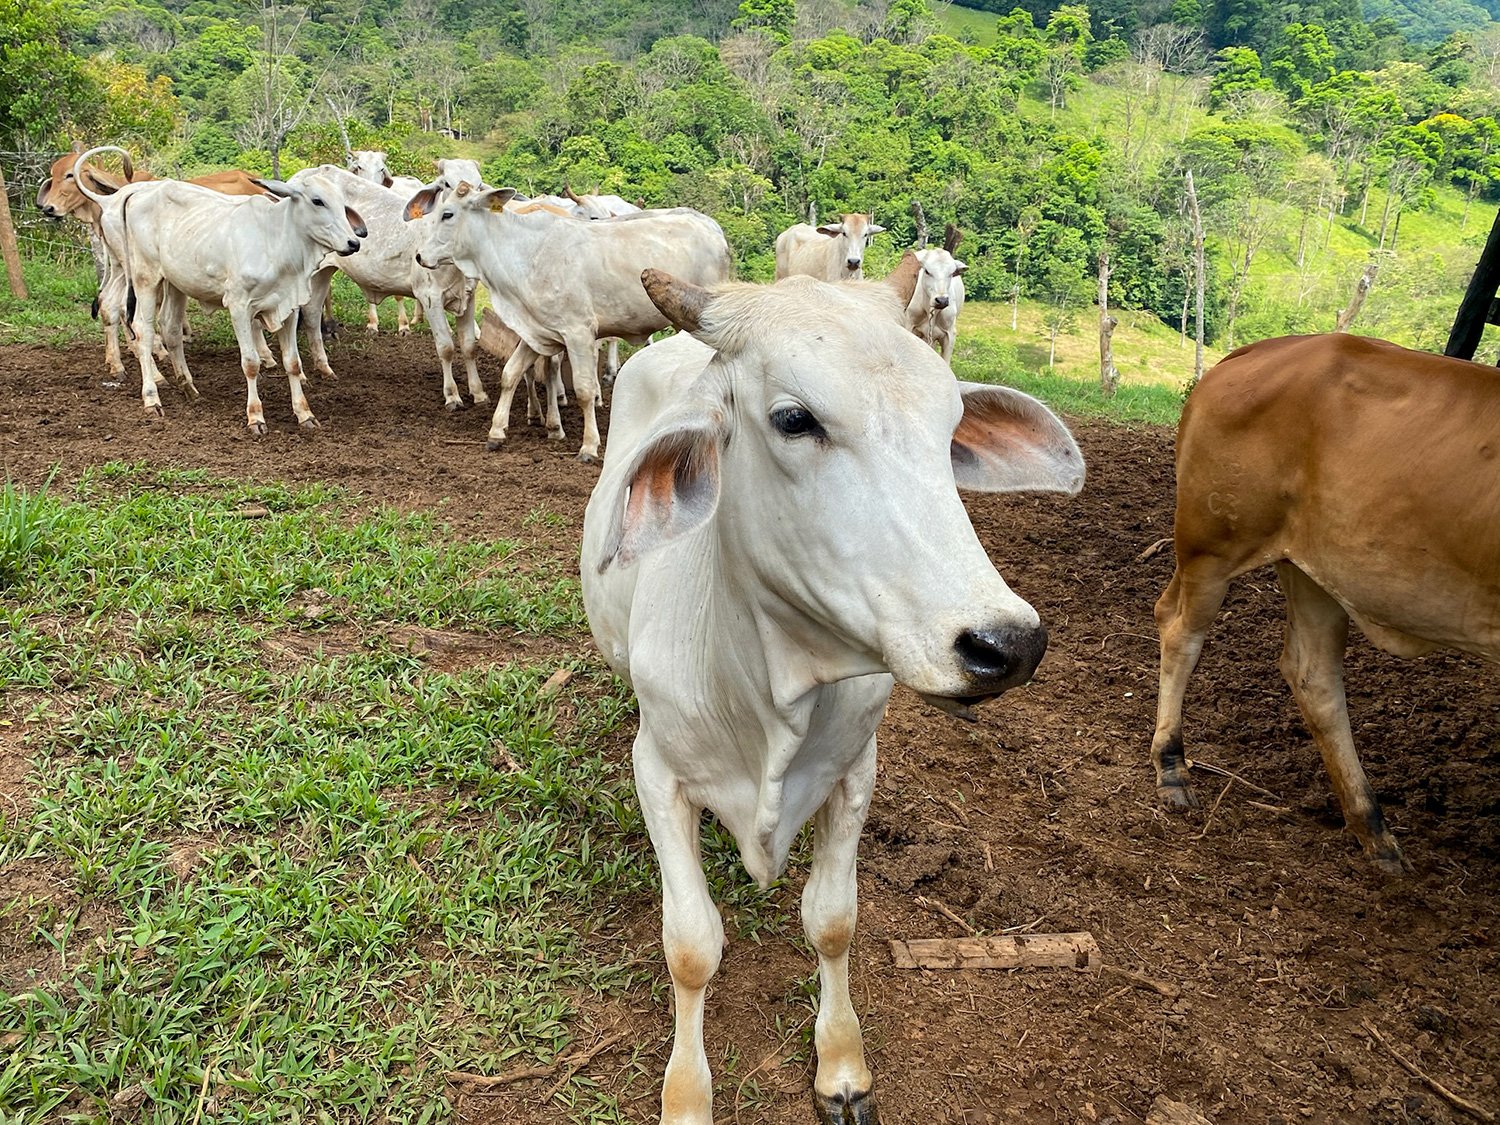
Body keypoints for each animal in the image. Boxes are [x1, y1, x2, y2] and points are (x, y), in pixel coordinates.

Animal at [103, 166, 365, 434]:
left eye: (342, 203)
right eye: (317, 201)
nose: (353, 242)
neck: (275, 241)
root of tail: (139, 192)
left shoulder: (288, 308)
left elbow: (293, 362)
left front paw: (304, 414)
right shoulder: (240, 307)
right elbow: (251, 363)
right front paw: (256, 417)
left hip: (176, 282)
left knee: (170, 328)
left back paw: (189, 388)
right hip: (145, 277)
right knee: (142, 330)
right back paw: (151, 397)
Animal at [404, 185, 732, 461]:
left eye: (448, 214)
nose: (419, 256)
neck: (525, 253)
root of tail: (713, 229)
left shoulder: (579, 333)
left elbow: (585, 390)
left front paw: (589, 445)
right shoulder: (537, 330)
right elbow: (510, 374)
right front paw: (497, 431)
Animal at [581, 269, 1084, 1125]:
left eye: (950, 424)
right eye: (794, 419)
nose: (1005, 643)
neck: (773, 689)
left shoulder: (854, 771)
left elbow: (834, 921)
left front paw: (842, 1064)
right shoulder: (660, 774)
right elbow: (691, 944)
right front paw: (686, 1091)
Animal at [1150, 333, 1500, 875]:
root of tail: (1263, 349)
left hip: (1315, 570)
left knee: (1312, 675)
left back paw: (1373, 829)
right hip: (1212, 544)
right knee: (1179, 629)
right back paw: (1172, 768)